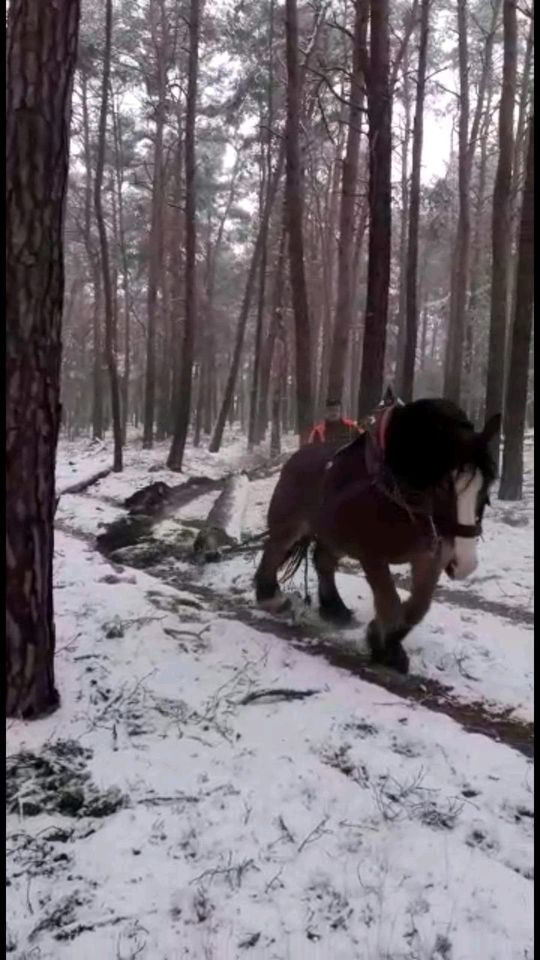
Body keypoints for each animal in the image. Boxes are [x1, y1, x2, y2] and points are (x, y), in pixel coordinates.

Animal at [255, 398, 500, 676]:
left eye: (486, 487)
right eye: (442, 486)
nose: (464, 563)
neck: (397, 494)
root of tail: (294, 458)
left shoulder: (430, 558)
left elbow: (418, 607)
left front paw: (384, 639)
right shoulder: (371, 555)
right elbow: (390, 602)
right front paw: (385, 647)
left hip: (333, 535)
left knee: (323, 561)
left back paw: (334, 608)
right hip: (290, 524)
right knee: (274, 550)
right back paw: (271, 598)